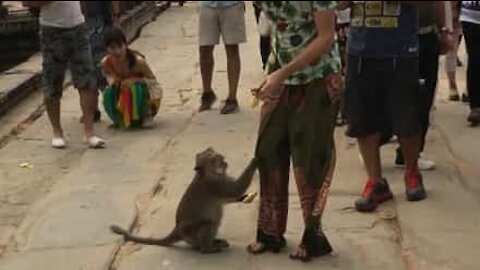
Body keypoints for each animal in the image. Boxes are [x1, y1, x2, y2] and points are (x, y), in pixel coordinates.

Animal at [111, 147, 258, 254]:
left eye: (211, 151)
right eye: (212, 157)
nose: (221, 157)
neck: (207, 174)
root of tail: (177, 229)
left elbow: (228, 198)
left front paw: (245, 197)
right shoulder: (214, 185)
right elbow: (235, 190)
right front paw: (254, 160)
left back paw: (215, 242)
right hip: (190, 232)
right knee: (209, 223)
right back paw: (209, 248)